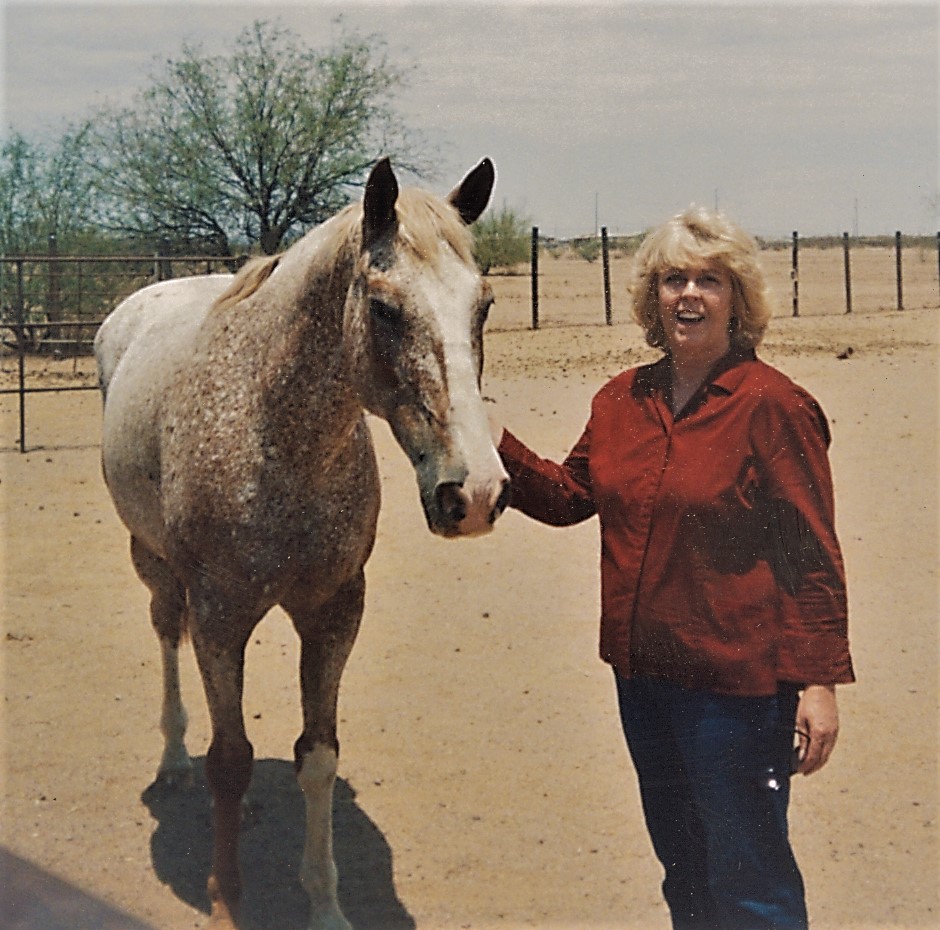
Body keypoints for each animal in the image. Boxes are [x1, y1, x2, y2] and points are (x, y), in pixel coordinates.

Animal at [93, 160, 506, 928]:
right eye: (384, 309)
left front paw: (326, 905)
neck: (276, 438)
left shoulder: (334, 611)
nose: (475, 494)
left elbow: (317, 757)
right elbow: (228, 760)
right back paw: (172, 763)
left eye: (485, 306)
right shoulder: (219, 615)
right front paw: (226, 901)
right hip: (155, 565)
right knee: (167, 635)